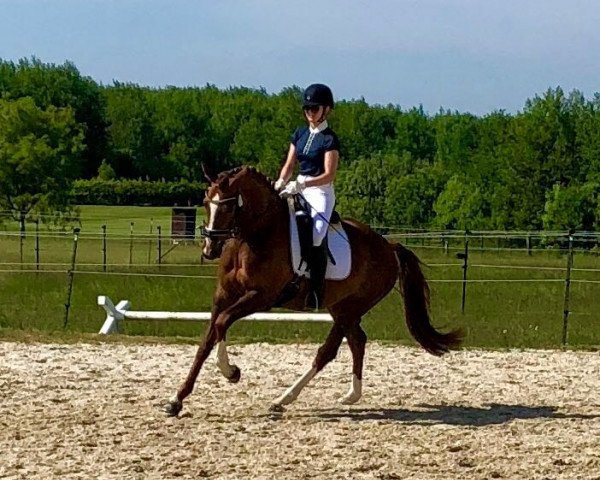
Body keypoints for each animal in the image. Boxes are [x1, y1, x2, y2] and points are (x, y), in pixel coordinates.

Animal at [164, 165, 464, 416]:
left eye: (227, 207)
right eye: (206, 203)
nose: (209, 249)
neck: (256, 236)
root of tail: (388, 247)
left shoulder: (261, 297)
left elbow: (223, 323)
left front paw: (231, 372)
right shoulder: (223, 295)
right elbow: (207, 339)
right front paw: (176, 400)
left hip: (350, 308)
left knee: (329, 351)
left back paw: (284, 399)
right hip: (340, 307)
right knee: (357, 341)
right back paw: (350, 395)